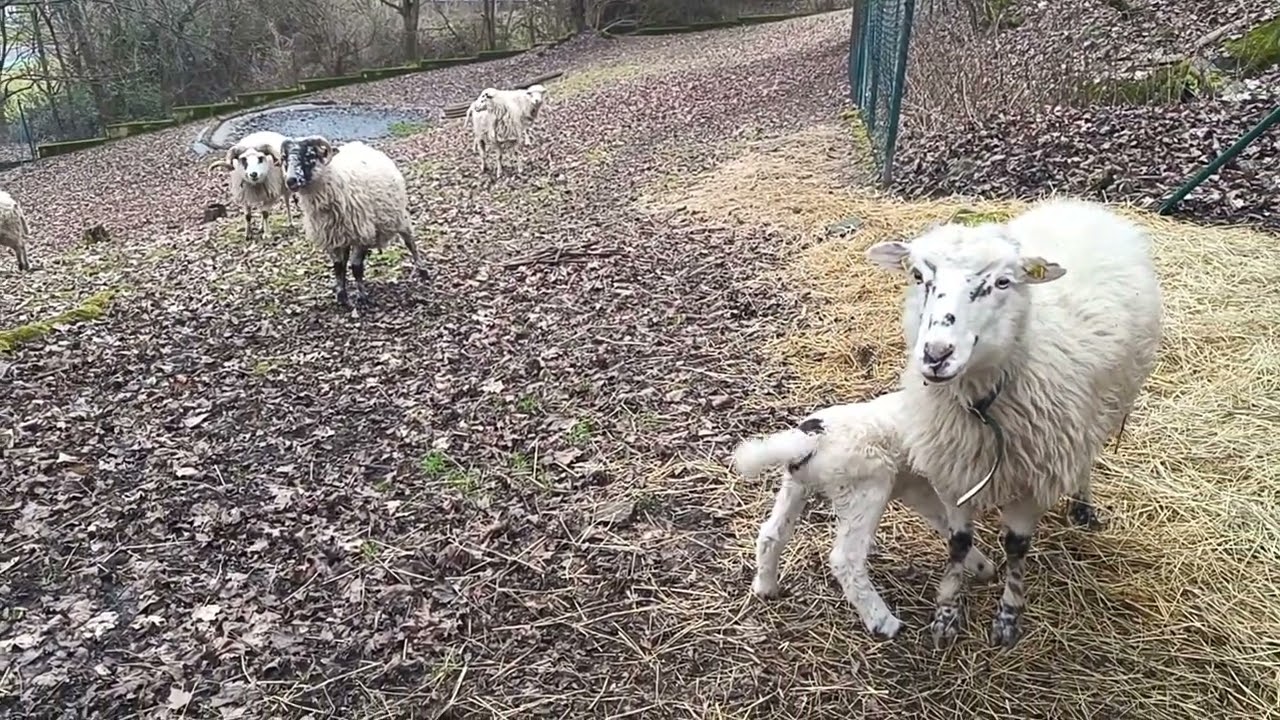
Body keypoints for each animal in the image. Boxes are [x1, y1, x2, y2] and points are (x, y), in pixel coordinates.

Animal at [279, 135, 426, 308]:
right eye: (285, 158)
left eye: (309, 155)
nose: (291, 181)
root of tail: (362, 146)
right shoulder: (332, 238)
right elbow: (338, 267)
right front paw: (341, 296)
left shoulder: (362, 233)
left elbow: (356, 267)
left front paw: (362, 297)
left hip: (400, 216)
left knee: (410, 242)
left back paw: (422, 270)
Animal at [733, 390, 996, 639]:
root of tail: (810, 441)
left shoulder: (919, 488)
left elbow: (951, 526)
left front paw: (982, 567)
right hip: (868, 490)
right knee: (845, 559)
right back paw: (883, 621)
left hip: (797, 487)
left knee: (771, 534)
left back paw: (766, 587)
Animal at [863, 198, 1163, 649]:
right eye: (918, 276)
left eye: (1003, 282)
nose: (936, 354)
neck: (980, 407)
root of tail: (1081, 204)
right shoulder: (953, 471)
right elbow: (959, 542)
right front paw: (946, 615)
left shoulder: (1032, 480)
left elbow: (1016, 546)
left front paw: (1007, 619)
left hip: (1105, 407)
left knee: (1086, 456)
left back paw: (1083, 505)